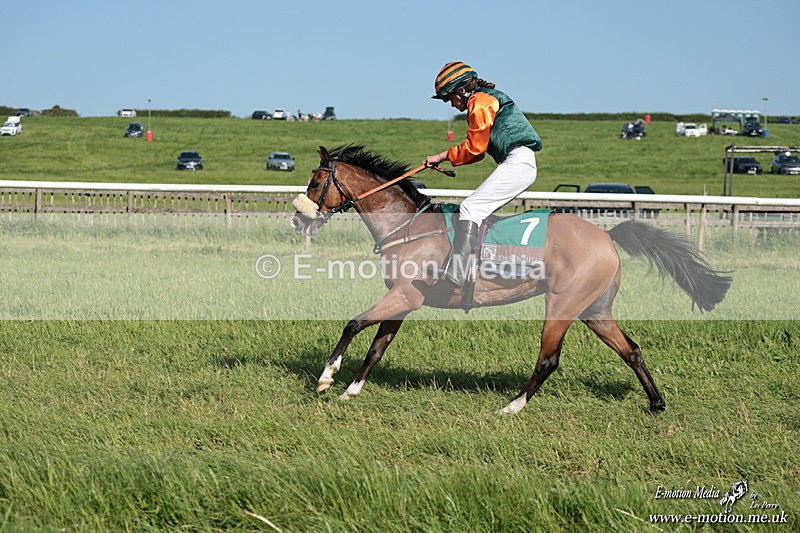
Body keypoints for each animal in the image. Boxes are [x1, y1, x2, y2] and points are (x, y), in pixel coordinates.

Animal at [290, 145, 732, 414]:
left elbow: (353, 324)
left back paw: (512, 406)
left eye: (315, 181)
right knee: (632, 350)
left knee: (549, 359)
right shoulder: (403, 301)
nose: (297, 218)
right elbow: (376, 348)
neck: (408, 227)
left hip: (562, 304)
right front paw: (351, 389)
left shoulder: (404, 297)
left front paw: (326, 377)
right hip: (594, 308)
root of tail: (607, 235)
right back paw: (656, 403)